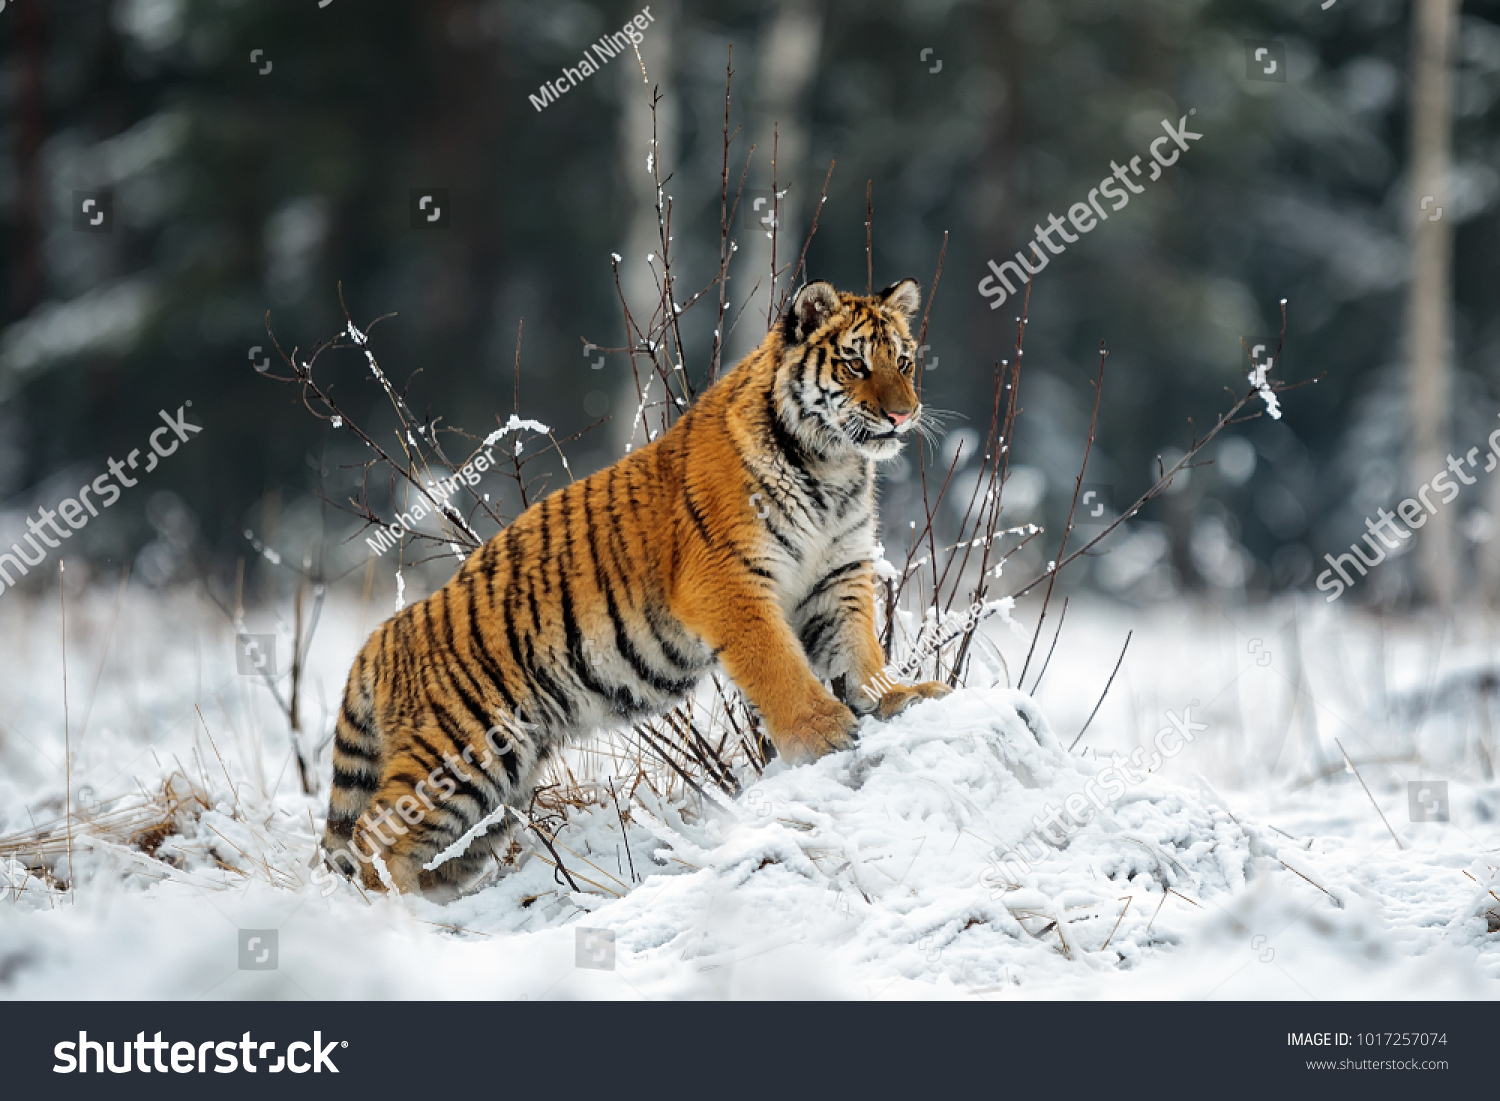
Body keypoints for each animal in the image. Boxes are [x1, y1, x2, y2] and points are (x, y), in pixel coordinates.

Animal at [320, 278, 952, 896]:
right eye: (854, 364)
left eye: (903, 361)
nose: (903, 416)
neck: (833, 470)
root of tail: (380, 636)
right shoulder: (730, 581)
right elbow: (779, 667)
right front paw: (823, 733)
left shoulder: (836, 576)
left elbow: (860, 652)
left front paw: (898, 698)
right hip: (461, 751)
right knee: (373, 842)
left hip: (498, 786)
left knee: (432, 859)